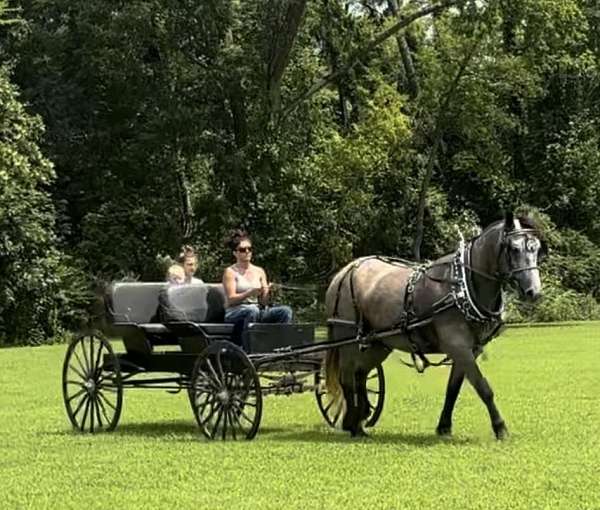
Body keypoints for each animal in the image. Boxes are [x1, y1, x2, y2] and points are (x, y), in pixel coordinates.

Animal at [326, 213, 548, 440]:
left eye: (536, 248)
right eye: (514, 248)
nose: (534, 292)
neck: (462, 286)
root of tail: (344, 272)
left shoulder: (470, 350)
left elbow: (453, 388)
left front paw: (444, 427)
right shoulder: (458, 346)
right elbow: (483, 387)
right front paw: (500, 428)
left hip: (378, 343)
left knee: (361, 374)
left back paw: (359, 421)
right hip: (347, 338)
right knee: (347, 377)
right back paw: (352, 424)